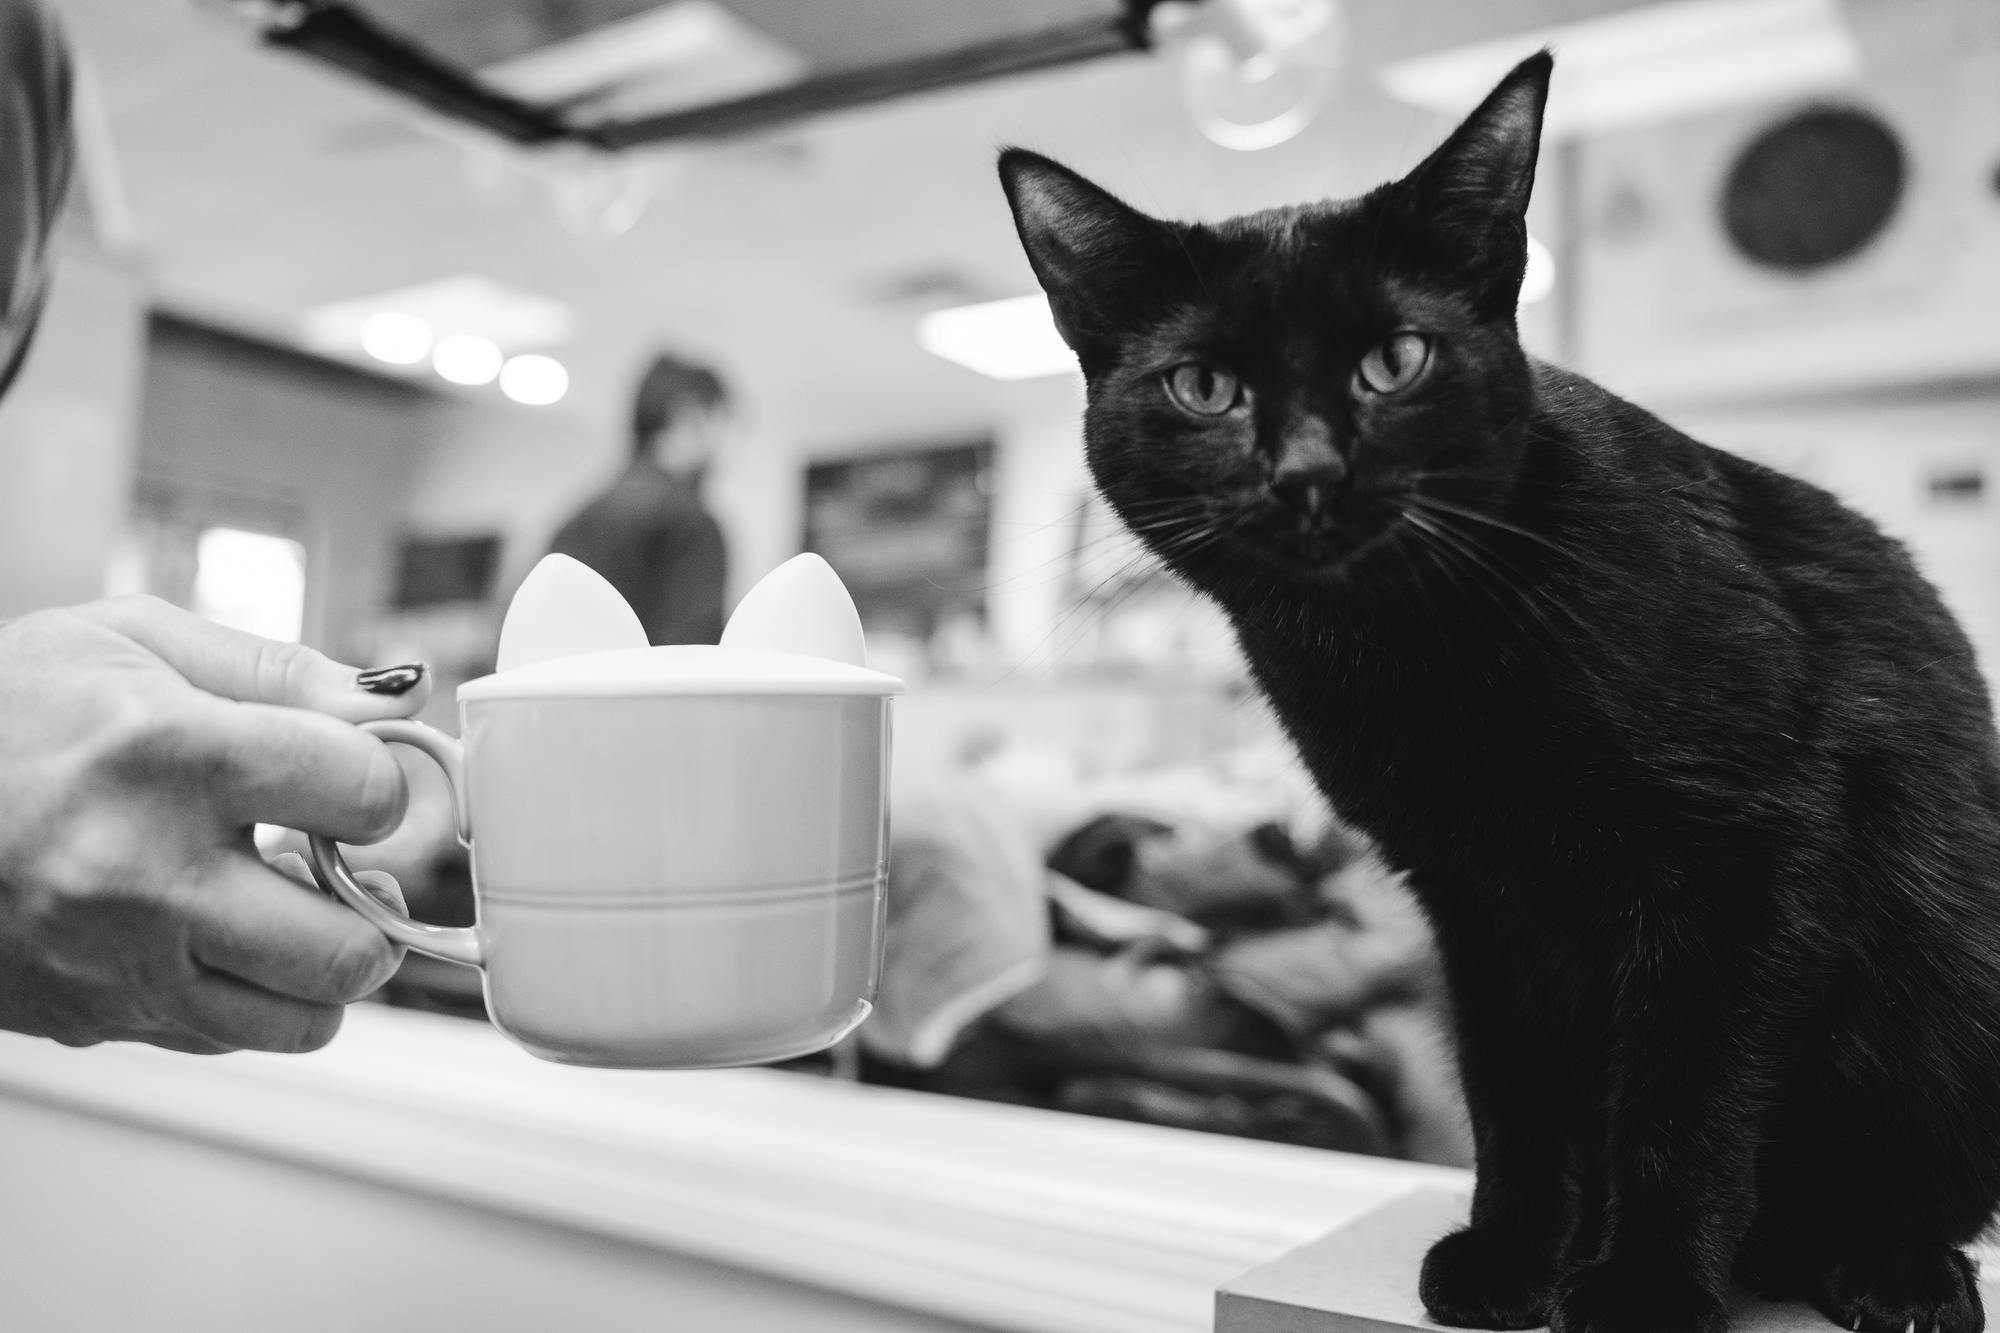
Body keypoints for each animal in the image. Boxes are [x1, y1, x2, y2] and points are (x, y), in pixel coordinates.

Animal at [1008, 49, 2000, 1328]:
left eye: (1394, 361)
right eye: (1203, 386)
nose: (1306, 473)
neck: (1404, 653)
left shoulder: (1739, 863)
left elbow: (1684, 1094)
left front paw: (1644, 1283)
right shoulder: (1472, 900)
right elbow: (1511, 1090)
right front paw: (1512, 1253)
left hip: (1944, 992)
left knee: (1908, 1185)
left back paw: (1890, 1266)